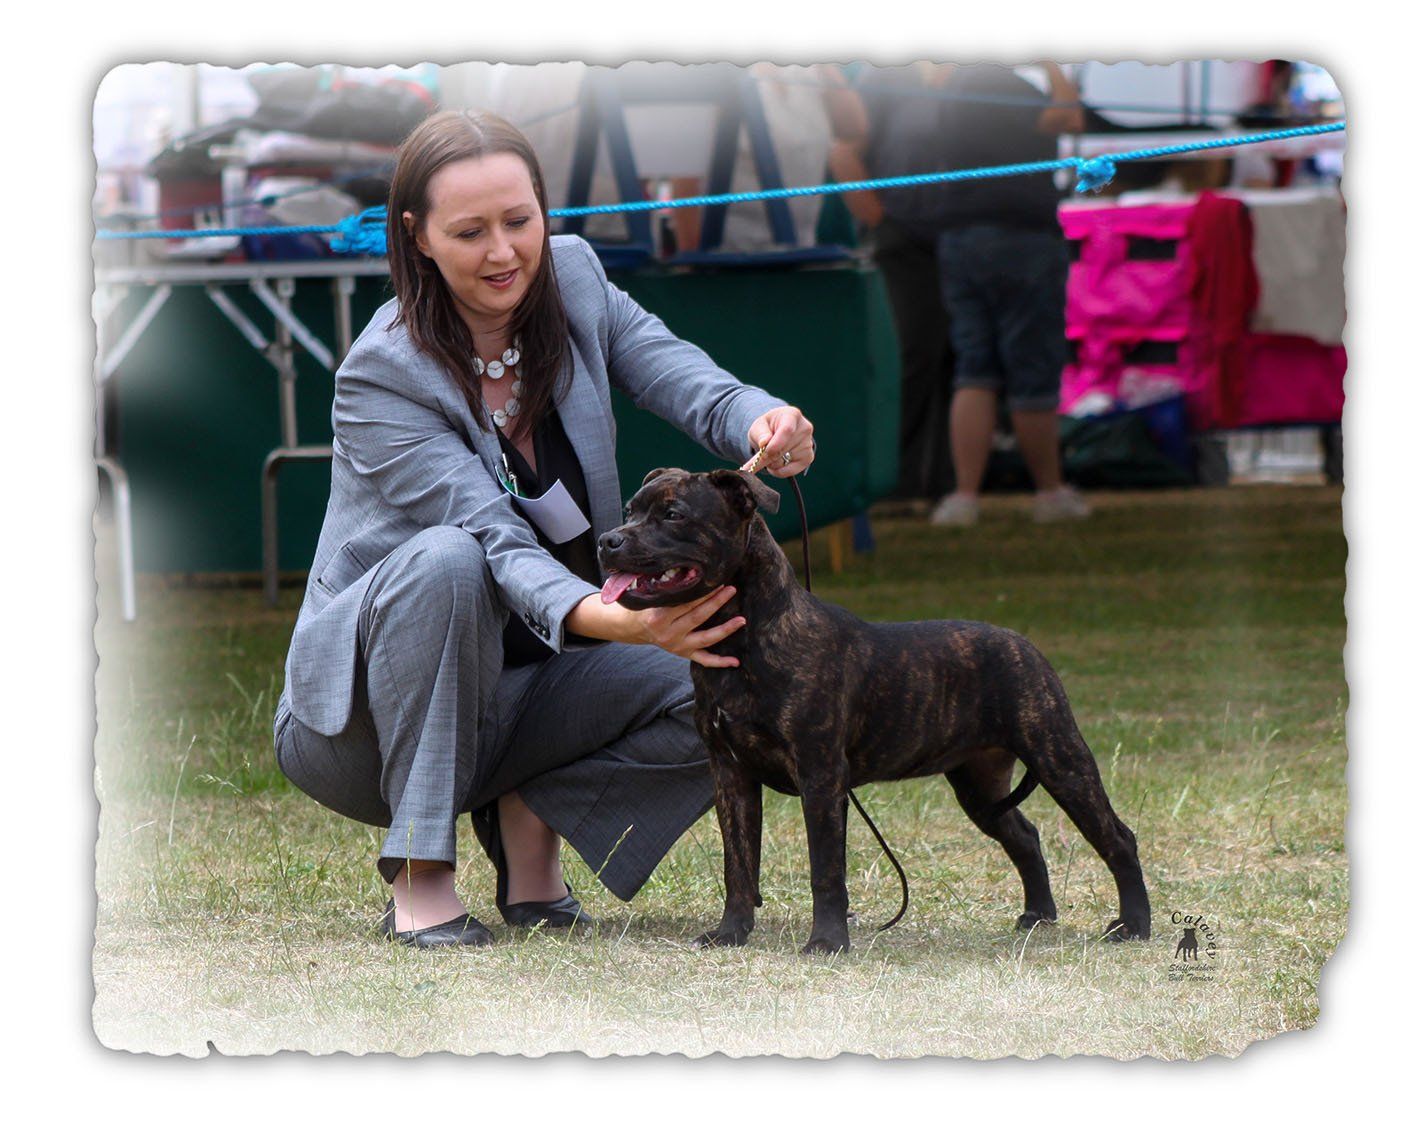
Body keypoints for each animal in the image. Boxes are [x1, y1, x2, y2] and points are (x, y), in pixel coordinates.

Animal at [597, 468, 1151, 954]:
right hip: (979, 785)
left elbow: (825, 869)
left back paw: (1133, 926)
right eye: (630, 511)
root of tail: (1025, 645)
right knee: (1025, 836)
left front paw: (827, 942)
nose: (607, 540)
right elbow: (739, 863)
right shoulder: (731, 775)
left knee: (1117, 837)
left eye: (673, 514)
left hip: (1060, 759)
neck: (746, 638)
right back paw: (1038, 915)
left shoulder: (821, 778)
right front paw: (731, 934)